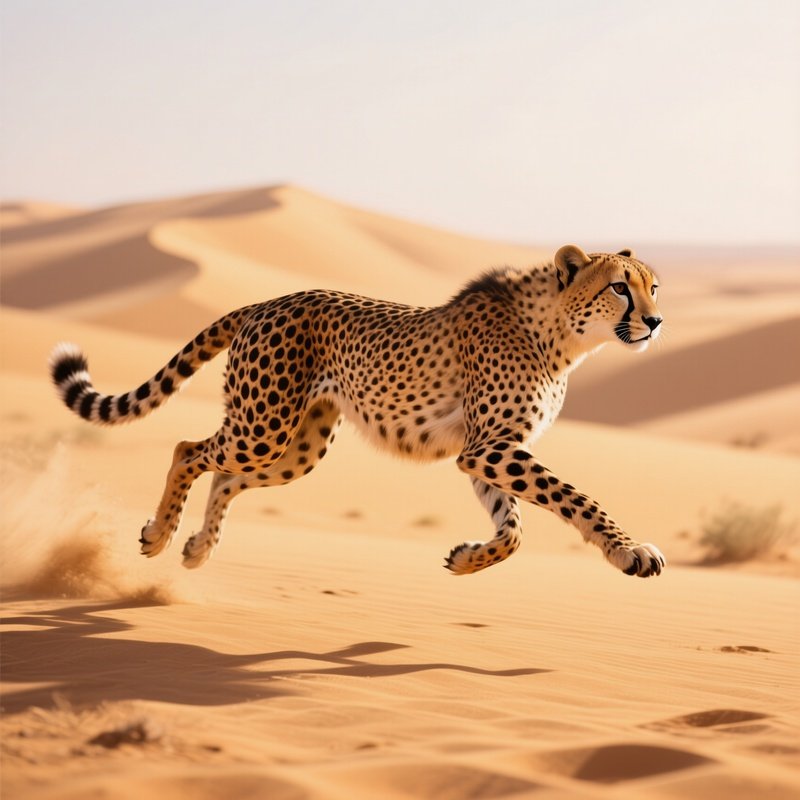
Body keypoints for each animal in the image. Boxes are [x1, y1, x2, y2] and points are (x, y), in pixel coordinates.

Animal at [50, 244, 666, 577]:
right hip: (262, 427)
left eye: (654, 287)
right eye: (619, 288)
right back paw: (159, 534)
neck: (560, 335)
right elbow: (573, 498)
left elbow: (512, 530)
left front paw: (466, 558)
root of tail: (268, 301)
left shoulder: (482, 452)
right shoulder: (491, 447)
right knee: (188, 449)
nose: (656, 322)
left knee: (224, 476)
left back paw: (199, 549)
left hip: (296, 446)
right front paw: (629, 550)